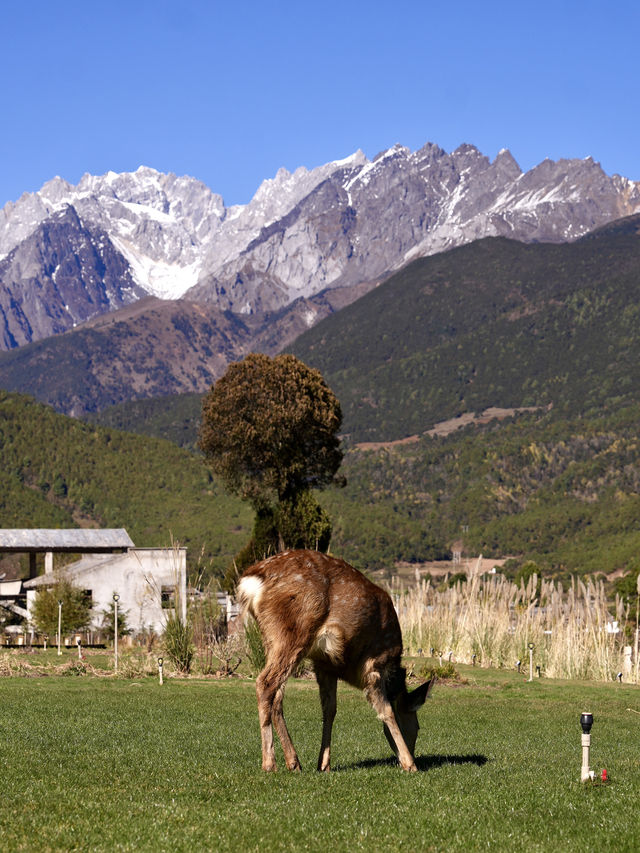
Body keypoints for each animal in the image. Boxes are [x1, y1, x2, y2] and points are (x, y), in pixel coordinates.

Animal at [238, 544, 432, 772]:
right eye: (417, 726)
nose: (413, 754)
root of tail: (251, 580)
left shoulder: (324, 665)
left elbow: (329, 710)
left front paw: (323, 764)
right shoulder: (374, 663)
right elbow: (386, 711)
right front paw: (410, 764)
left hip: (271, 638)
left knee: (277, 694)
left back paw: (294, 762)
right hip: (294, 630)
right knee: (265, 682)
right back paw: (270, 763)